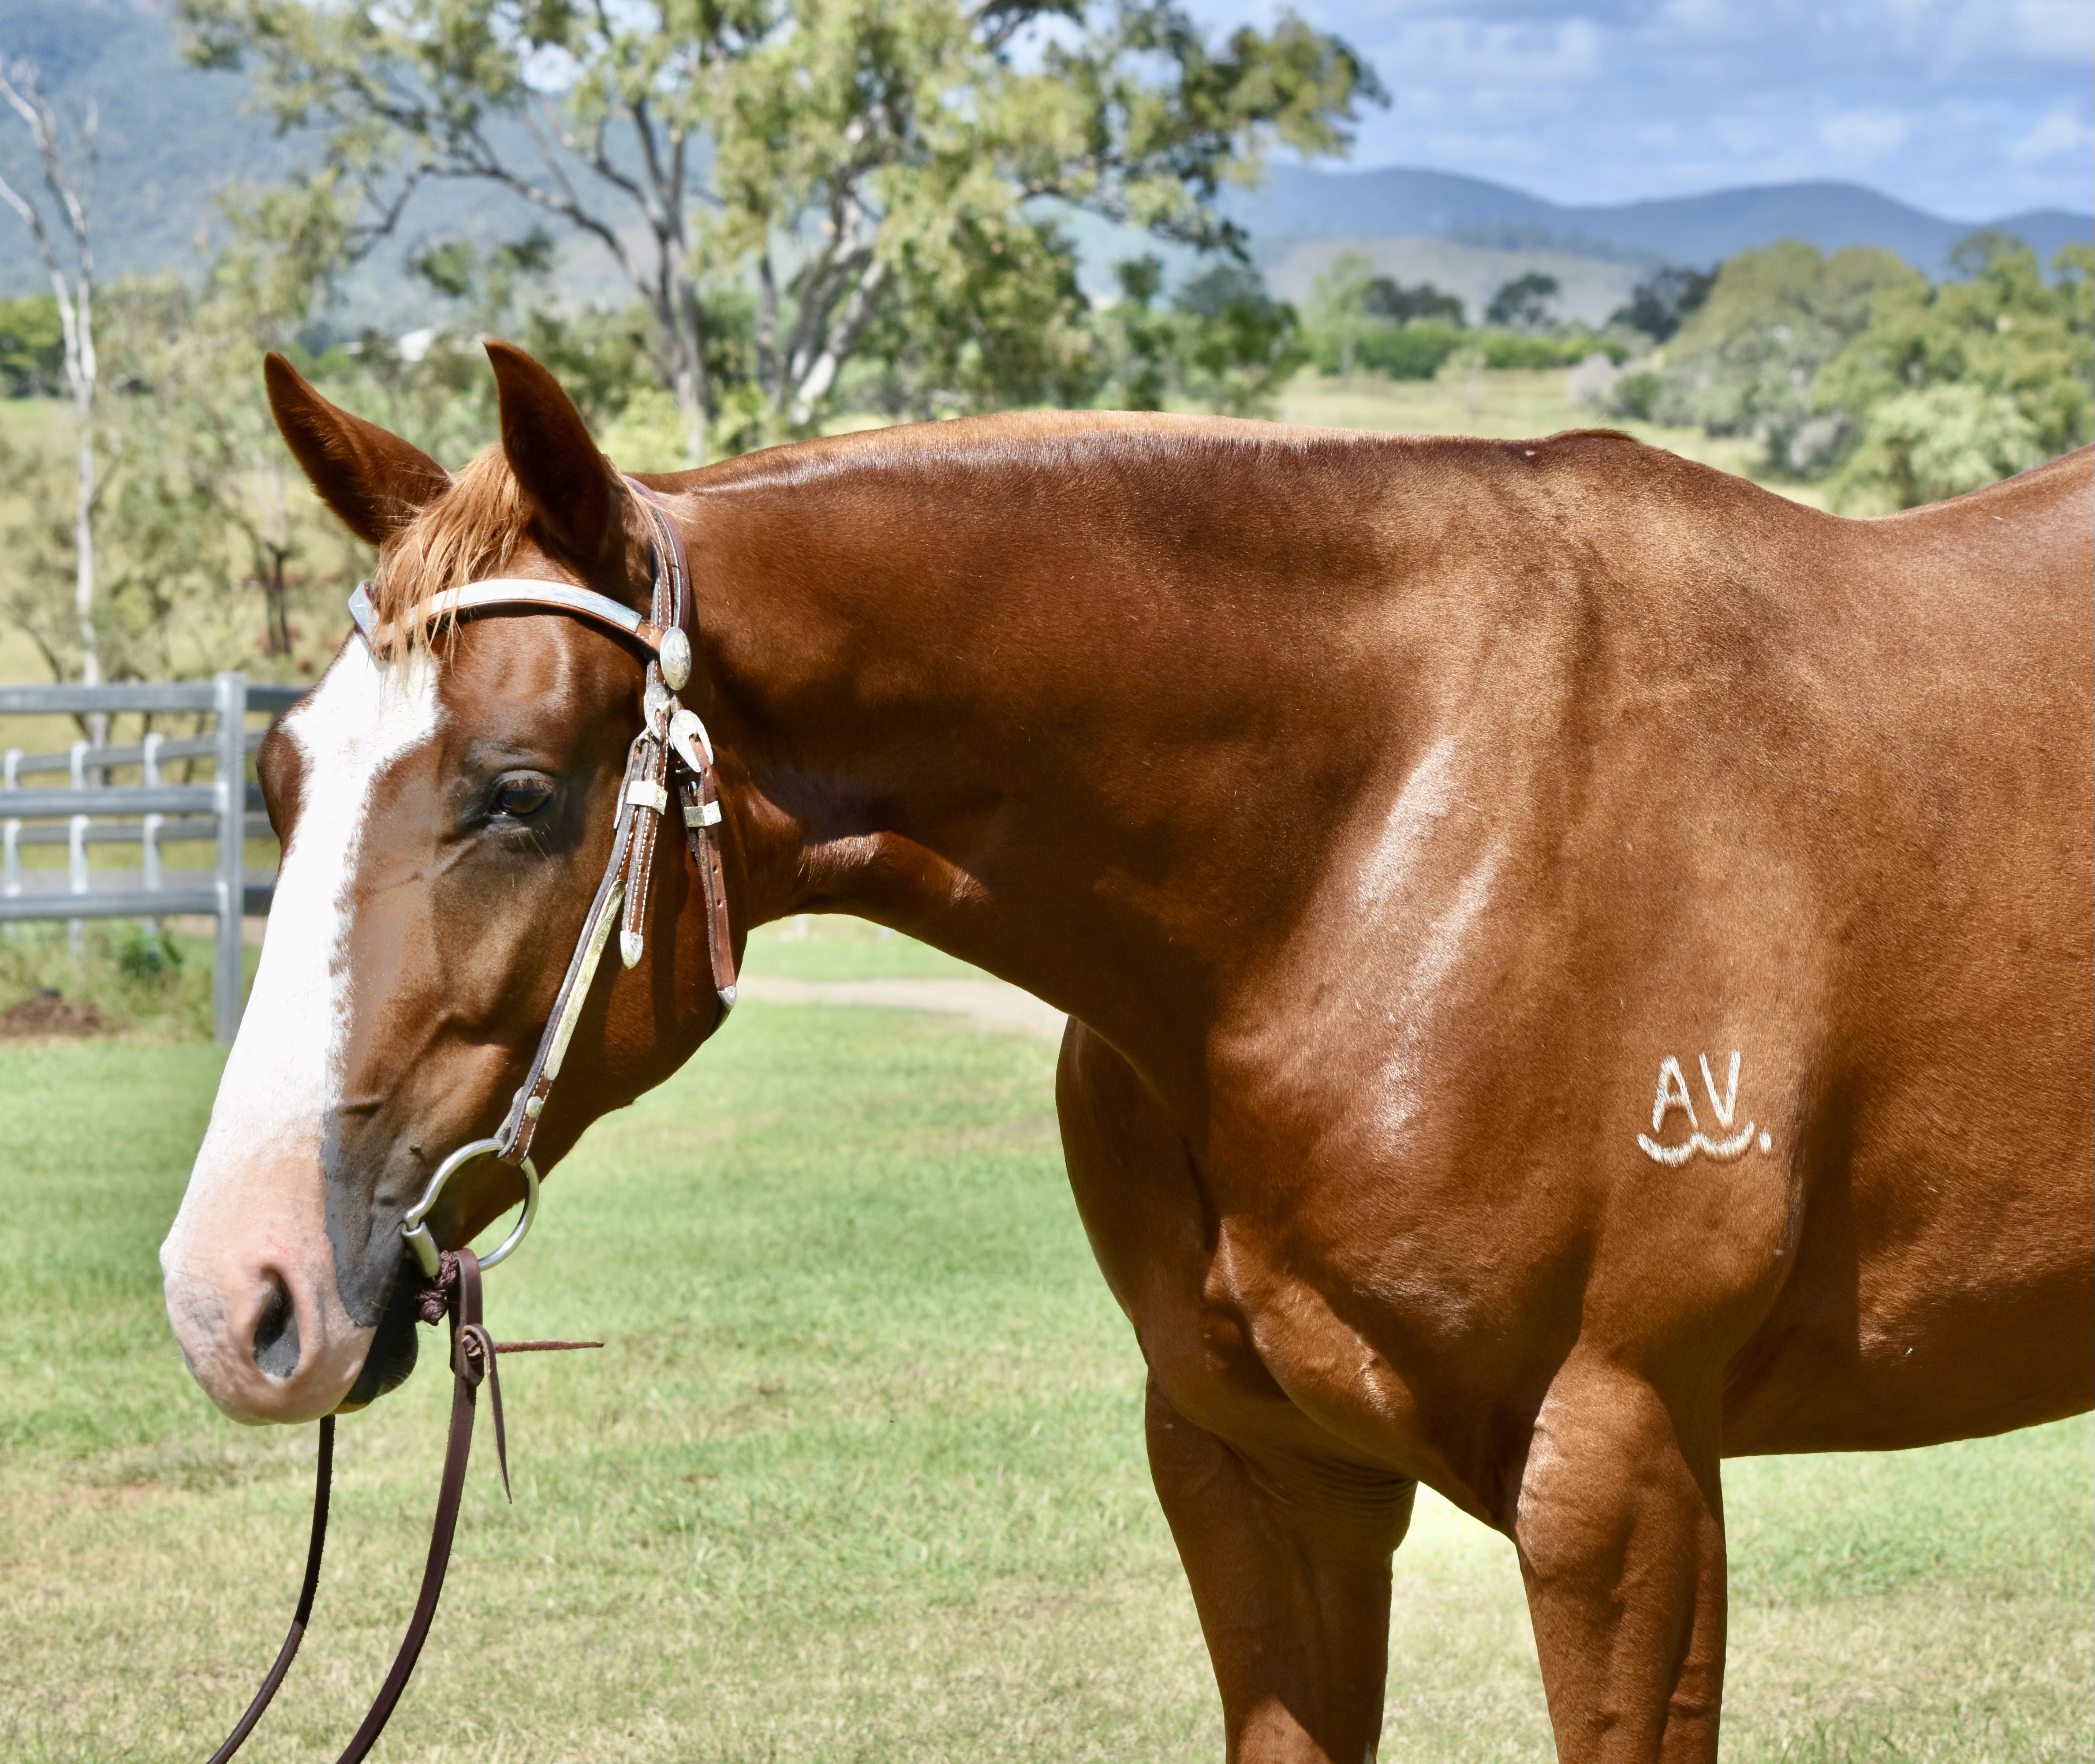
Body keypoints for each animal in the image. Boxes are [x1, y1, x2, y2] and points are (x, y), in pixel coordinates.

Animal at [159, 340, 2093, 1762]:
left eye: (514, 793)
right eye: (277, 775)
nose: (235, 1292)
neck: (1383, 833)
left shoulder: (1622, 1489)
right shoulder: (1259, 1477)